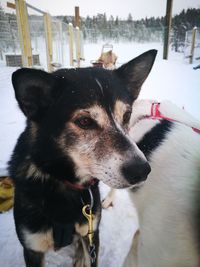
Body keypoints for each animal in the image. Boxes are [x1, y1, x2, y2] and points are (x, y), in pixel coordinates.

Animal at [9, 49, 156, 266]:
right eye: (85, 121)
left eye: (127, 115)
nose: (142, 170)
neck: (61, 182)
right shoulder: (32, 248)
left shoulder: (92, 232)